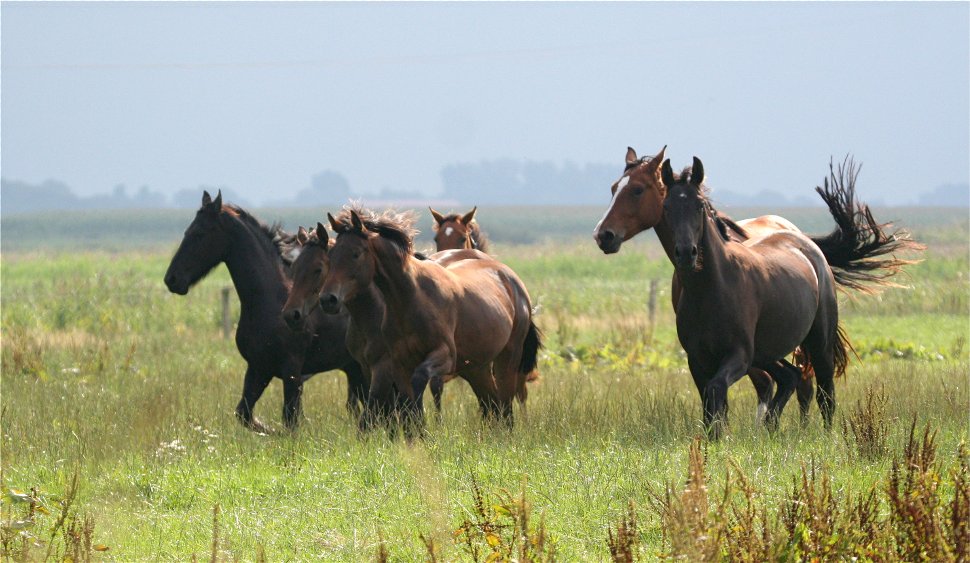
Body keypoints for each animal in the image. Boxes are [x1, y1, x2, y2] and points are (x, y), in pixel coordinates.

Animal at [164, 191, 364, 432]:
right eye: (188, 231)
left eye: (199, 233)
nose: (172, 279)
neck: (271, 303)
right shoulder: (258, 368)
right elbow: (245, 414)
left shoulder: (292, 370)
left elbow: (290, 421)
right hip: (353, 368)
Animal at [322, 209, 540, 434]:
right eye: (330, 255)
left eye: (356, 253)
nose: (328, 299)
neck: (411, 298)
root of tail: (510, 277)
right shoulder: (398, 364)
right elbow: (401, 403)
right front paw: (414, 436)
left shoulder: (444, 356)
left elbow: (418, 383)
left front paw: (423, 430)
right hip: (476, 367)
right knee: (492, 403)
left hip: (508, 358)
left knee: (505, 403)